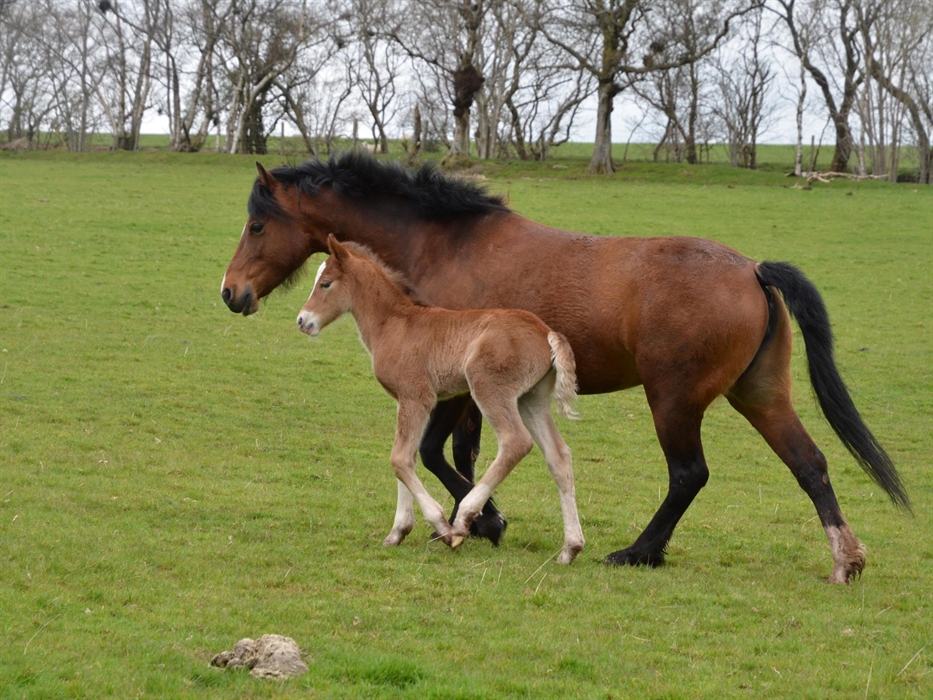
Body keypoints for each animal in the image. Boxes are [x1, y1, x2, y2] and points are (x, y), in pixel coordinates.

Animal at [296, 234, 585, 563]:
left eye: (326, 283)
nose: (302, 320)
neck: (394, 323)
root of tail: (547, 332)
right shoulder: (404, 401)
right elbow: (405, 456)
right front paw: (397, 532)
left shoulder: (417, 397)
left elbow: (399, 458)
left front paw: (441, 527)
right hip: (530, 400)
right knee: (559, 456)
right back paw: (570, 548)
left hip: (488, 388)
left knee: (515, 442)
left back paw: (464, 519)